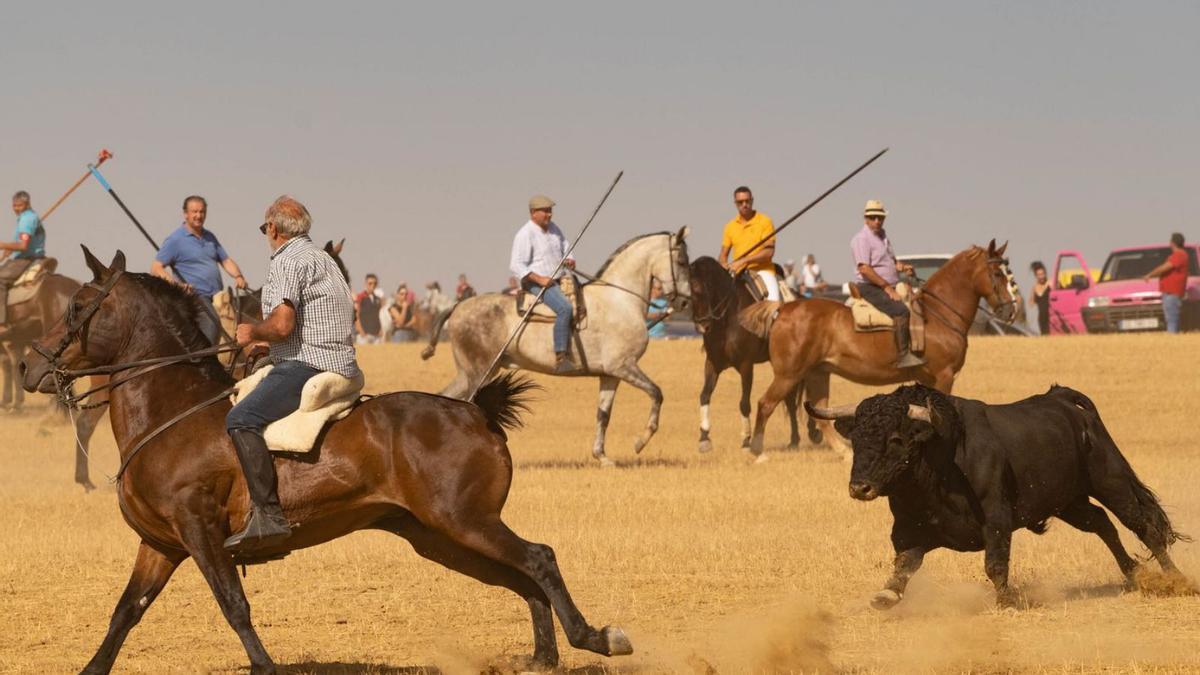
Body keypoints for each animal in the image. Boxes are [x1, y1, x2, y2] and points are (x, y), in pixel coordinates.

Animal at [21, 248, 638, 672]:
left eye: (78, 306)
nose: (29, 367)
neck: (169, 412)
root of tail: (475, 411)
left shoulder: (198, 532)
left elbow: (233, 604)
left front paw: (265, 667)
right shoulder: (162, 543)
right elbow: (126, 612)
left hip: (464, 521)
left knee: (538, 559)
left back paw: (595, 638)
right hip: (439, 535)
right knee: (522, 576)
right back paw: (543, 657)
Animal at [427, 225, 696, 461]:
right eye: (682, 262)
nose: (685, 302)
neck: (620, 300)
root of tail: (458, 306)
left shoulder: (610, 375)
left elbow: (603, 414)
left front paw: (602, 456)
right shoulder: (625, 366)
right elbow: (656, 393)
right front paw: (640, 442)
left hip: (473, 372)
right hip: (478, 372)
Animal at [691, 257, 801, 451]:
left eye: (701, 290)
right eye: (688, 291)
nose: (702, 326)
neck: (728, 318)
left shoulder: (746, 365)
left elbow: (744, 403)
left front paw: (746, 440)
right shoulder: (712, 363)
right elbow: (704, 395)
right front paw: (704, 438)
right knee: (789, 398)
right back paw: (796, 440)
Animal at [748, 240, 1012, 456]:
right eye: (997, 273)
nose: (1010, 310)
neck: (938, 314)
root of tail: (783, 308)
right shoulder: (944, 375)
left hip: (818, 373)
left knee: (821, 413)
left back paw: (844, 452)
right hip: (789, 374)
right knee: (765, 404)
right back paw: (758, 452)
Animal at [811, 381, 1185, 607]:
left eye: (896, 439)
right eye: (856, 438)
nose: (859, 488)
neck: (943, 458)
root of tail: (1062, 398)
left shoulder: (996, 518)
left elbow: (994, 562)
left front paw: (1007, 600)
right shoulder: (908, 527)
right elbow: (905, 562)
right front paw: (886, 594)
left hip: (1110, 481)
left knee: (1143, 525)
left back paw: (1175, 580)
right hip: (1068, 502)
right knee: (1102, 523)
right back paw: (1133, 573)